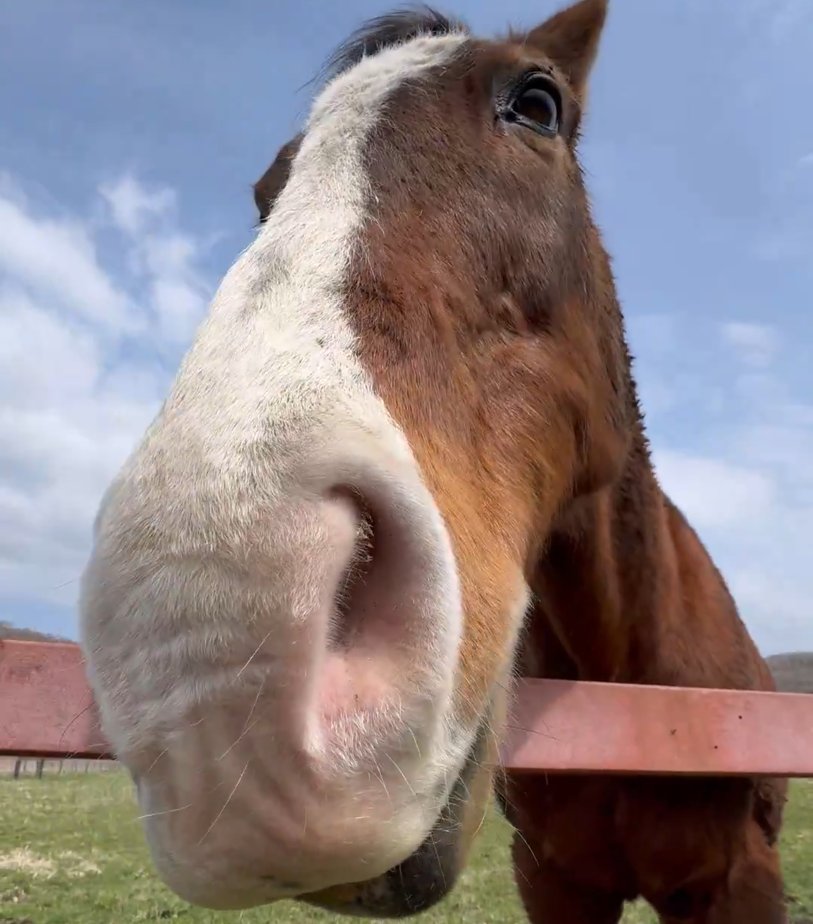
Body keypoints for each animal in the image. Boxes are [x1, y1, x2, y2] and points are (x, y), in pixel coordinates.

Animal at [79, 0, 787, 920]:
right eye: (266, 193)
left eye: (537, 104)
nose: (205, 654)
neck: (642, 712)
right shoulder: (552, 878)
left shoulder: (741, 879)